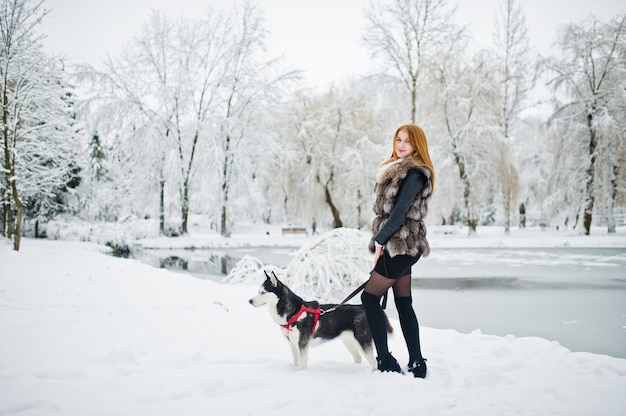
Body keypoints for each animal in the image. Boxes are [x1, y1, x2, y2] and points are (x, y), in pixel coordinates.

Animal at [249, 272, 390, 368]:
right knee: (358, 357)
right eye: (258, 291)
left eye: (263, 292)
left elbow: (301, 366)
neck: (293, 313)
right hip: (349, 341)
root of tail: (362, 307)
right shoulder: (292, 345)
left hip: (362, 342)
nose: (249, 301)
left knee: (373, 361)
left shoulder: (302, 345)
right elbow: (296, 363)